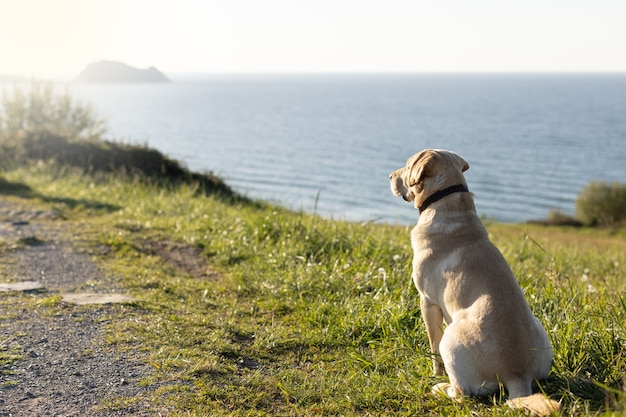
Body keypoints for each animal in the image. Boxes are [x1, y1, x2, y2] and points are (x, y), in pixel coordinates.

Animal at [388, 149, 560, 412]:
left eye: (407, 167)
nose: (389, 176)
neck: (446, 202)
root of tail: (517, 375)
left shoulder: (427, 301)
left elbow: (432, 346)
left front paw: (435, 373)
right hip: (540, 333)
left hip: (451, 340)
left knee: (462, 393)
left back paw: (441, 388)